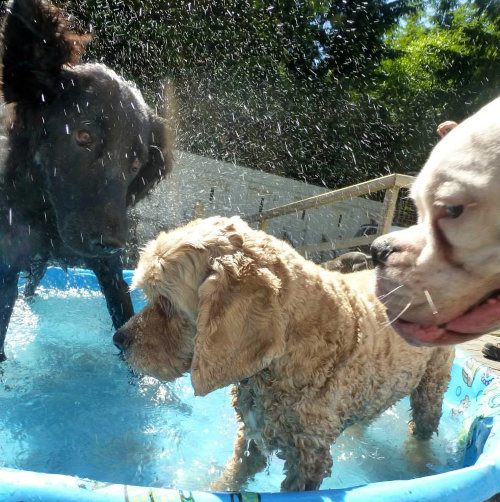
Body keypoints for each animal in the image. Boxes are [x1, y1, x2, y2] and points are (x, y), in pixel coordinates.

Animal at [0, 0, 172, 360]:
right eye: (83, 136)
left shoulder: (111, 272)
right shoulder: (7, 266)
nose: (112, 242)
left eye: (136, 160)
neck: (50, 221)